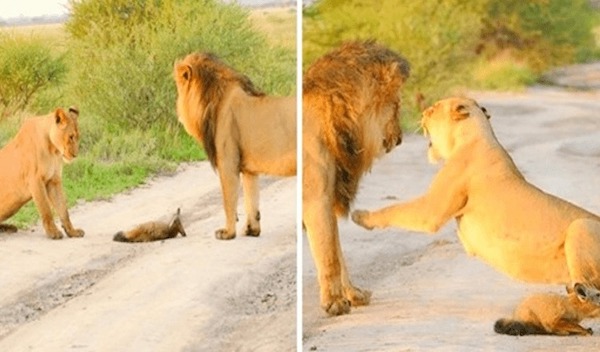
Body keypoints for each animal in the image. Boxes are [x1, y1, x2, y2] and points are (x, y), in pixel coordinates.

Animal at [0, 107, 84, 239]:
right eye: (71, 136)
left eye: (77, 137)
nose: (75, 155)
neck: (53, 150)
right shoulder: (35, 180)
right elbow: (46, 209)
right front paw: (53, 232)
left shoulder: (54, 181)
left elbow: (63, 210)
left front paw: (72, 232)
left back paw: (9, 228)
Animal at [173, 52, 296, 239]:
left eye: (178, 86)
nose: (177, 109)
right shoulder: (249, 169)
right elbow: (251, 198)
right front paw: (251, 230)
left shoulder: (227, 162)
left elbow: (228, 200)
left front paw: (227, 233)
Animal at [302, 41, 410, 316]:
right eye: (396, 104)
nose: (400, 138)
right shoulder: (316, 199)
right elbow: (329, 254)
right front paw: (335, 303)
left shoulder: (328, 197)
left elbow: (338, 253)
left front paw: (353, 294)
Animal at [354, 97, 600, 330]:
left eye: (433, 109)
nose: (422, 113)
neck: (476, 135)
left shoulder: (431, 210)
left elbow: (393, 209)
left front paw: (361, 216)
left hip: (580, 227)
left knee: (590, 300)